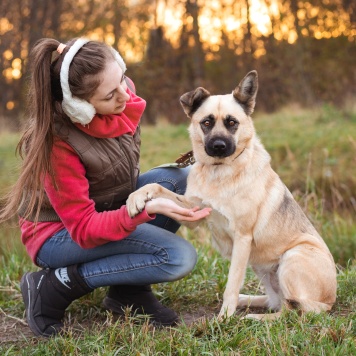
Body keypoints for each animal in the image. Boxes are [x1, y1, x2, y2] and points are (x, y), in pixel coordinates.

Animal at [126, 70, 338, 320]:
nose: (218, 146)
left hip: (293, 256)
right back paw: (248, 301)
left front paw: (223, 319)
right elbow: (158, 189)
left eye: (232, 123)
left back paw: (255, 317)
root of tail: (329, 301)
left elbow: (232, 284)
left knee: (290, 311)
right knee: (277, 302)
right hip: (263, 269)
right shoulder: (193, 211)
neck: (219, 171)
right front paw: (136, 198)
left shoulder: (242, 238)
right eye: (206, 122)